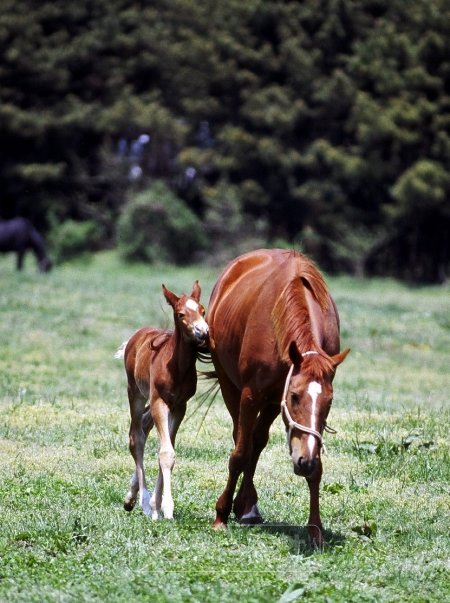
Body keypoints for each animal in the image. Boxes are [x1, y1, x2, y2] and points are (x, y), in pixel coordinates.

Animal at [115, 280, 208, 520]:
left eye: (202, 310)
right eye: (181, 314)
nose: (203, 332)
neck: (175, 367)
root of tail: (137, 335)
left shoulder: (179, 406)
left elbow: (168, 451)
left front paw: (159, 504)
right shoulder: (160, 401)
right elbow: (165, 453)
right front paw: (163, 508)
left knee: (145, 425)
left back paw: (134, 497)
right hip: (135, 393)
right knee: (136, 436)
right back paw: (142, 501)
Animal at [207, 250, 352, 548]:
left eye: (329, 402)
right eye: (295, 396)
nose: (304, 461)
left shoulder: (276, 399)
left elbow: (314, 468)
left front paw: (315, 530)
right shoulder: (251, 395)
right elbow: (240, 453)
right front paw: (220, 516)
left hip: (272, 402)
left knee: (257, 440)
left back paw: (247, 507)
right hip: (230, 385)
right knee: (242, 438)